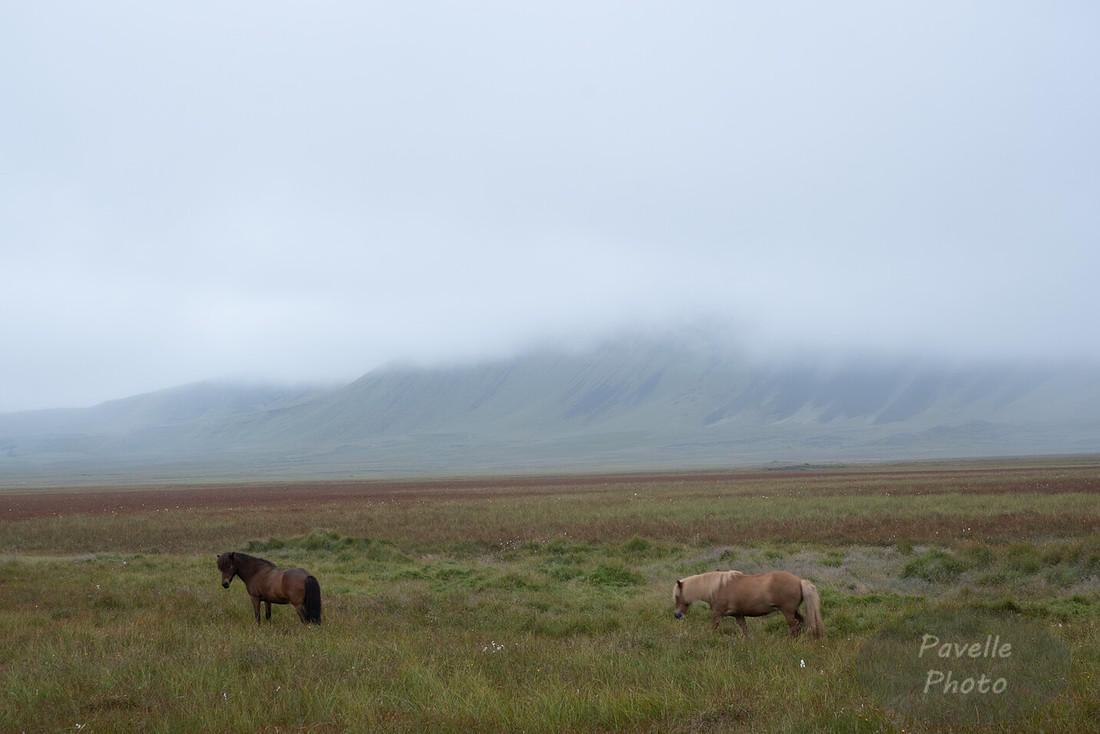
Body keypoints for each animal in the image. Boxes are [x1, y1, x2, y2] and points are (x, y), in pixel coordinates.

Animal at [673, 570, 824, 639]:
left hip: (787, 612)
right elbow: (745, 630)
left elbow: (713, 628)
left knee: (793, 627)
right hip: (793, 611)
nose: (677, 615)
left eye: (677, 596)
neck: (717, 587)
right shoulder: (738, 615)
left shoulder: (717, 614)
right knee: (800, 623)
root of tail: (799, 581)